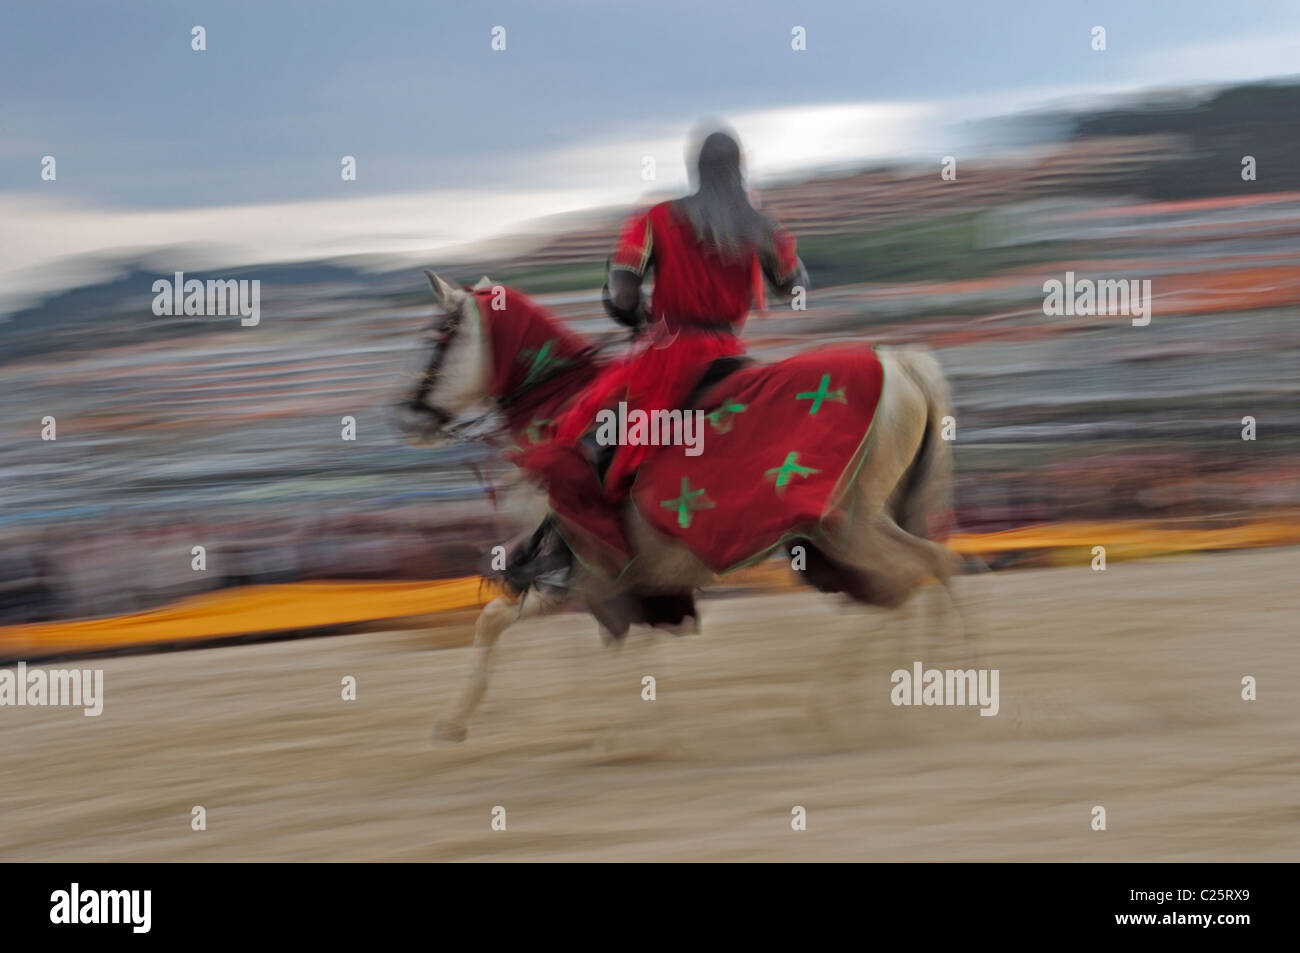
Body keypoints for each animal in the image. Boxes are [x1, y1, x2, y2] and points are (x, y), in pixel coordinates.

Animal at [397, 271, 967, 738]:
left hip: (848, 526)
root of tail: (901, 363)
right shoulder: (616, 577)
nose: (411, 417)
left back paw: (862, 696)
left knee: (917, 572)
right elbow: (528, 625)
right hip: (861, 524)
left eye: (441, 335)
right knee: (919, 575)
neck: (555, 413)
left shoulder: (591, 570)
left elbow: (516, 624)